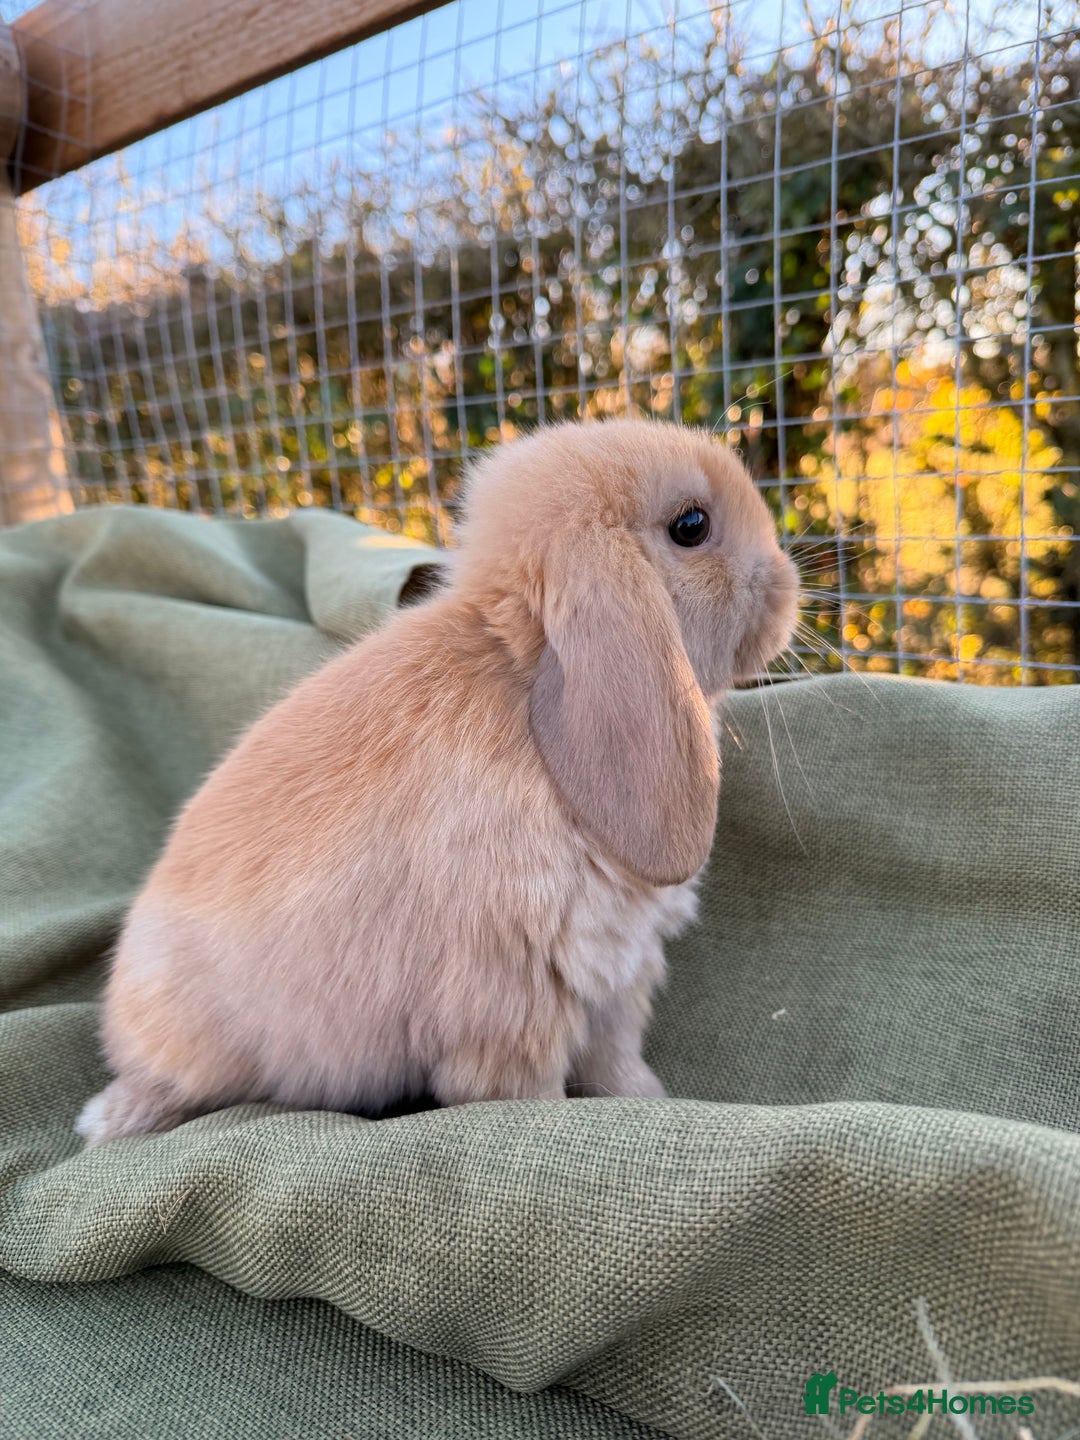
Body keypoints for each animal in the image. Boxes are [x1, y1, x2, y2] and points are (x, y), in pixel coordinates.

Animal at [75, 418, 800, 1146]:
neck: (525, 687)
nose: (789, 583)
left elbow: (617, 1066)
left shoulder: (613, 988)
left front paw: (655, 1103)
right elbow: (529, 1095)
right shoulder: (514, 1013)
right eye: (691, 525)